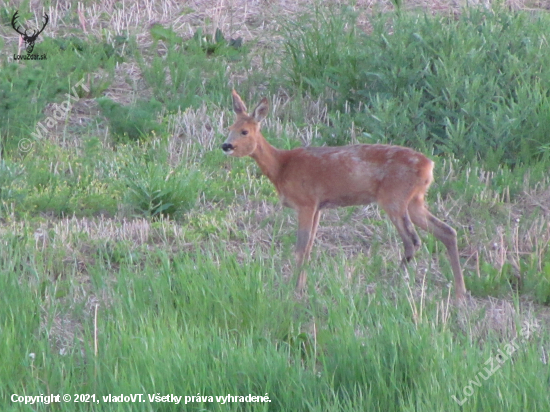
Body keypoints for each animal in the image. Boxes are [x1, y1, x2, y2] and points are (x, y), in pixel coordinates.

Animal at [222, 90, 468, 300]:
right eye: (229, 127)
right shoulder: (319, 207)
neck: (281, 167)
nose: (226, 145)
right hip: (415, 200)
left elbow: (300, 248)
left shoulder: (306, 202)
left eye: (244, 131)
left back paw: (391, 285)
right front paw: (301, 286)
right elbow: (309, 247)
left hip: (394, 198)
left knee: (412, 240)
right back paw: (460, 292)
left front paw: (294, 290)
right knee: (447, 231)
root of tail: (429, 165)